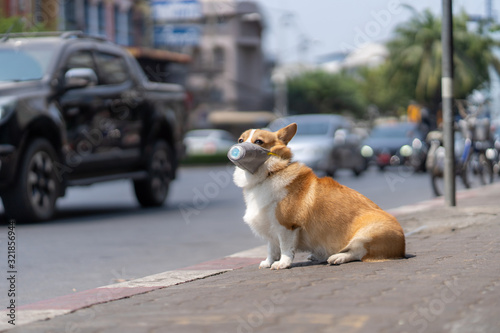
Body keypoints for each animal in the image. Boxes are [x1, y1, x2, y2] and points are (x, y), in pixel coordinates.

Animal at [232, 123, 404, 268]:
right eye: (240, 139)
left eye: (258, 141)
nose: (237, 147)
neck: (270, 174)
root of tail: (401, 248)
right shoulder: (269, 225)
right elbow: (271, 248)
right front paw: (267, 262)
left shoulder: (286, 226)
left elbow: (285, 248)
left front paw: (282, 263)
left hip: (365, 234)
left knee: (358, 252)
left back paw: (337, 257)